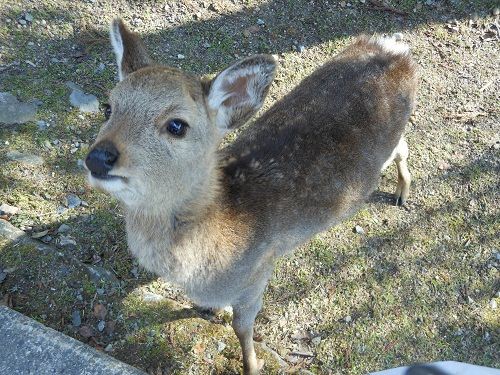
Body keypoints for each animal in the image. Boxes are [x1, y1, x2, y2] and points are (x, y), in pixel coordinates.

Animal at [84, 19, 416, 375]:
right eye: (108, 107)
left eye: (177, 125)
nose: (98, 157)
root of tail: (395, 49)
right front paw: (210, 311)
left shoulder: (257, 272)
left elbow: (242, 327)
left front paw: (252, 364)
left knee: (403, 147)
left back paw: (402, 192)